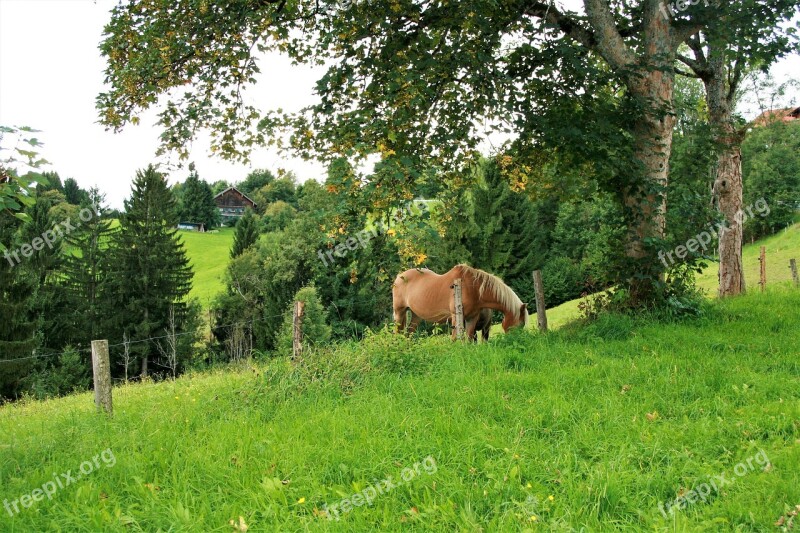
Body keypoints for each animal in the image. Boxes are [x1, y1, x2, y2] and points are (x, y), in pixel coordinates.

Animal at [392, 264, 528, 338]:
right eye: (519, 325)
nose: (515, 339)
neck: (473, 288)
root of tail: (399, 277)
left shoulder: (471, 318)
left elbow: (469, 337)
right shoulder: (455, 317)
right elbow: (454, 338)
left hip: (416, 316)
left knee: (408, 334)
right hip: (399, 312)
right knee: (398, 333)